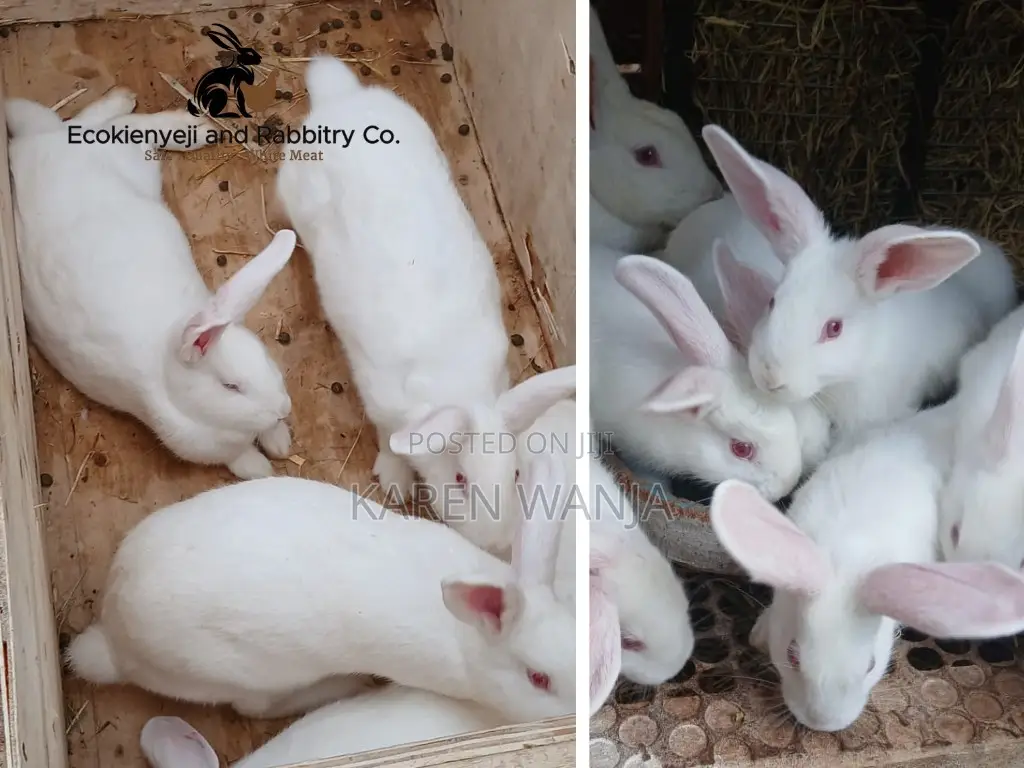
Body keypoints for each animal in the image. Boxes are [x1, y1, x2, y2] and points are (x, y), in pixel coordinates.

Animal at [6, 91, 296, 480]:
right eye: (231, 387)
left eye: (264, 355)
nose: (284, 408)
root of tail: (36, 144)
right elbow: (240, 459)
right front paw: (264, 467)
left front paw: (280, 441)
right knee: (97, 126)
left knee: (108, 126)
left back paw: (181, 124)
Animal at [65, 455, 575, 724]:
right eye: (538, 679)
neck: (470, 641)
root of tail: (114, 640)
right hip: (242, 673)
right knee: (255, 707)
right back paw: (342, 685)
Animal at [277, 57, 574, 552]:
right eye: (459, 480)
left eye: (515, 474)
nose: (496, 543)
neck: (460, 388)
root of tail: (341, 96)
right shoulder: (380, 399)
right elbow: (387, 440)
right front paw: (395, 479)